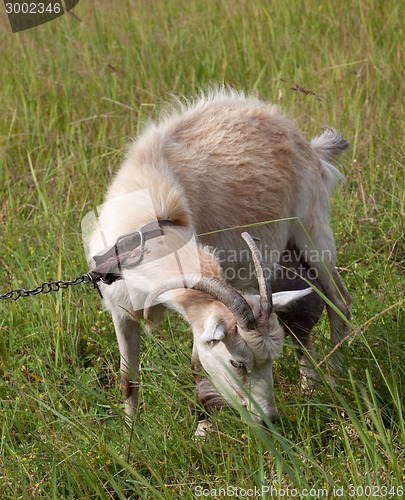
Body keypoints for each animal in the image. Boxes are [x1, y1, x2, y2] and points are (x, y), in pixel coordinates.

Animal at [87, 88, 350, 428]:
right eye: (236, 362)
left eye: (269, 361)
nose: (268, 419)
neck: (148, 226)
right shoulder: (120, 308)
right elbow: (127, 379)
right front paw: (131, 433)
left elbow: (197, 366)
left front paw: (203, 426)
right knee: (300, 317)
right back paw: (310, 387)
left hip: (313, 234)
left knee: (339, 302)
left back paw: (334, 379)